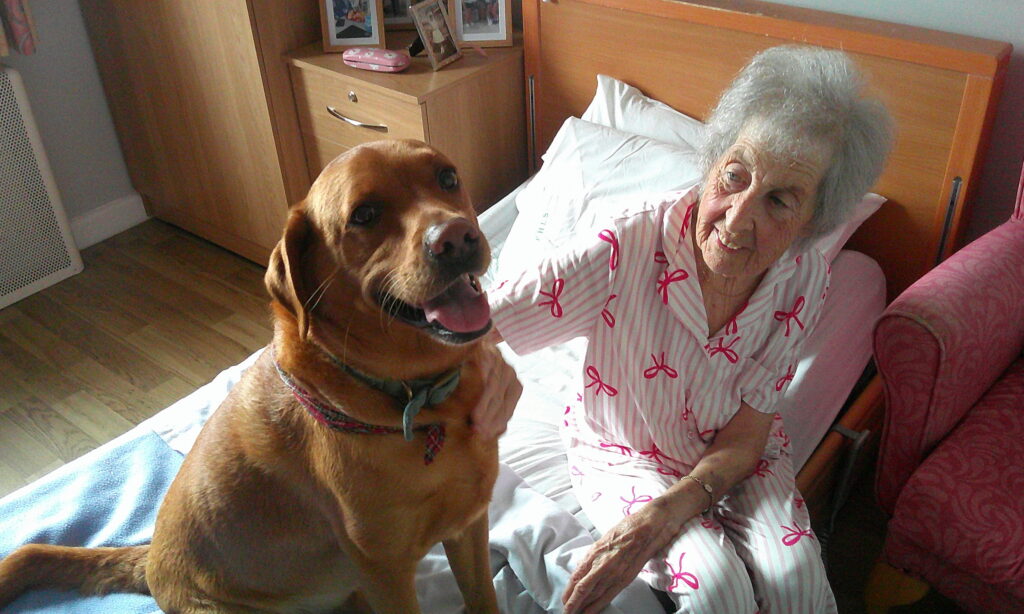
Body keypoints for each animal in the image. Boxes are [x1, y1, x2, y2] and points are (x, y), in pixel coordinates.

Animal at [0, 140, 504, 613]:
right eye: (365, 214)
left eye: (447, 177)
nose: (457, 237)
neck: (422, 401)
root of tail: (151, 560)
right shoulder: (386, 570)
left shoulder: (468, 526)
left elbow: (483, 597)